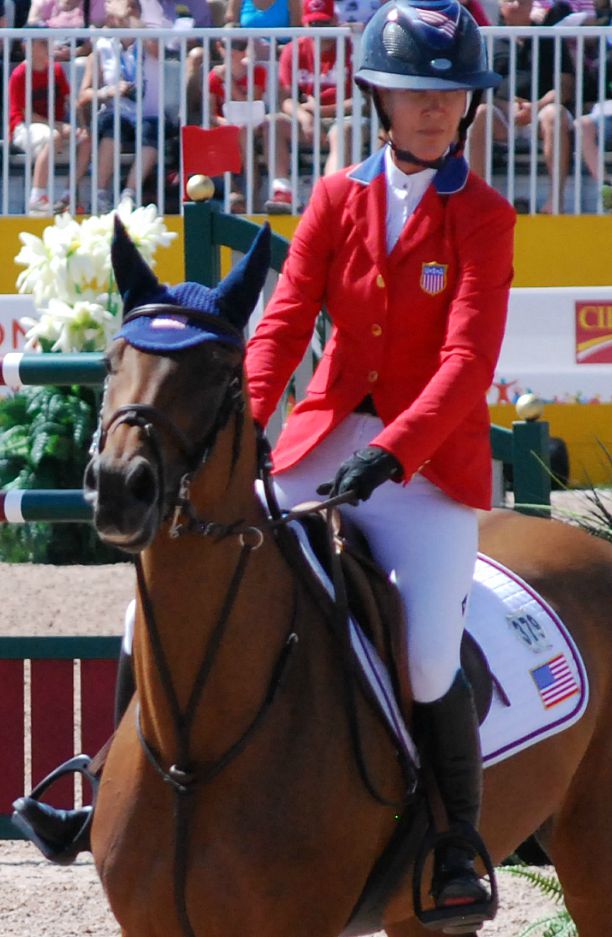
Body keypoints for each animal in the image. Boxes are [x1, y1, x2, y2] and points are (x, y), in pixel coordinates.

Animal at [84, 217, 612, 937]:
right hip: (425, 911)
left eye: (222, 372)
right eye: (111, 361)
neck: (195, 743)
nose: (120, 487)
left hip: (590, 858)